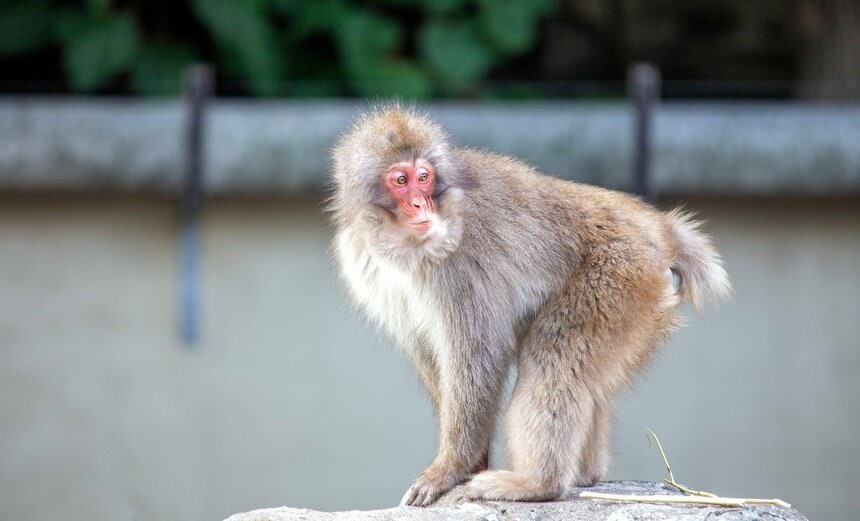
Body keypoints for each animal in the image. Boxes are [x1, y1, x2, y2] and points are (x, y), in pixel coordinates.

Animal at [330, 103, 732, 506]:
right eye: (401, 180)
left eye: (424, 177)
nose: (419, 204)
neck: (399, 242)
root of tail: (658, 228)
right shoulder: (365, 266)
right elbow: (428, 352)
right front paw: (473, 461)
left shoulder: (460, 262)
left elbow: (478, 353)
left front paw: (450, 468)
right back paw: (585, 474)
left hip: (620, 278)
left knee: (554, 354)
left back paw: (538, 483)